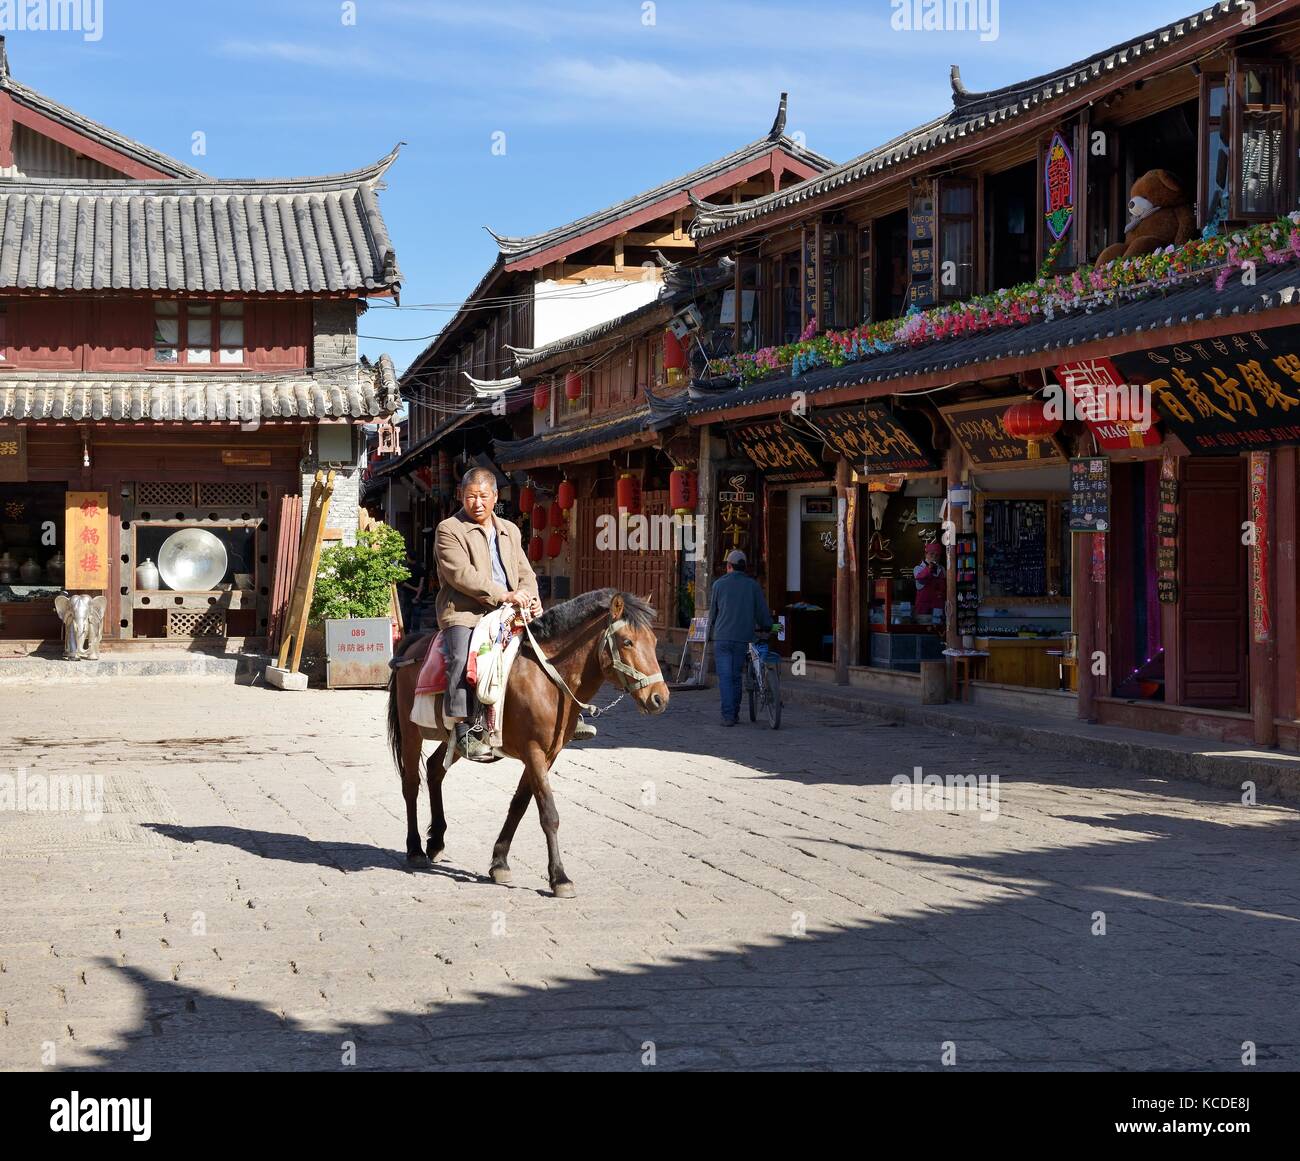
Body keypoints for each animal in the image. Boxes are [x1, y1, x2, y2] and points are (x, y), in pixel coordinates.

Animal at [384, 587, 670, 894]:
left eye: (654, 641)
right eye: (627, 641)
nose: (659, 698)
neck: (547, 679)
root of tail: (413, 643)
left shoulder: (547, 754)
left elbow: (519, 805)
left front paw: (499, 863)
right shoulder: (533, 751)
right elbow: (549, 813)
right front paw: (559, 877)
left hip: (454, 741)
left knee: (436, 769)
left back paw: (436, 841)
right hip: (411, 730)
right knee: (411, 784)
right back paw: (415, 849)